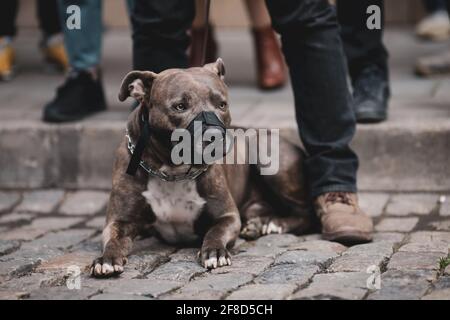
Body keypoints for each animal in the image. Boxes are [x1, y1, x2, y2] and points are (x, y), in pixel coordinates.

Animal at [91, 59, 312, 278]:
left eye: (222, 104)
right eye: (180, 106)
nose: (215, 136)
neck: (173, 172)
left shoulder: (227, 216)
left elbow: (215, 232)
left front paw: (214, 252)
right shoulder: (120, 220)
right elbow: (113, 239)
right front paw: (107, 259)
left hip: (265, 151)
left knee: (306, 213)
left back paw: (275, 224)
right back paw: (257, 224)